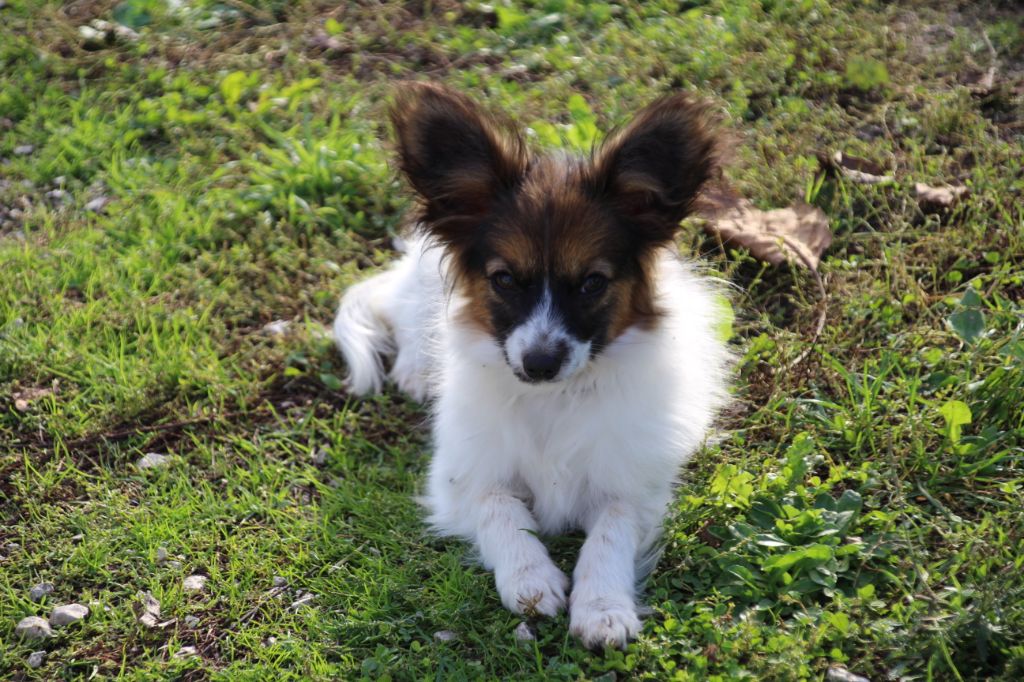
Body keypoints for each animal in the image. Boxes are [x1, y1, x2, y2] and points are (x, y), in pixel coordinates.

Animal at [333, 82, 729, 647]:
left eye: (592, 283)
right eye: (503, 280)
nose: (539, 363)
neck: (553, 399)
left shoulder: (633, 484)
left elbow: (610, 531)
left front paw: (603, 606)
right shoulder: (463, 476)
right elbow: (500, 509)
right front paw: (530, 577)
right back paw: (415, 368)